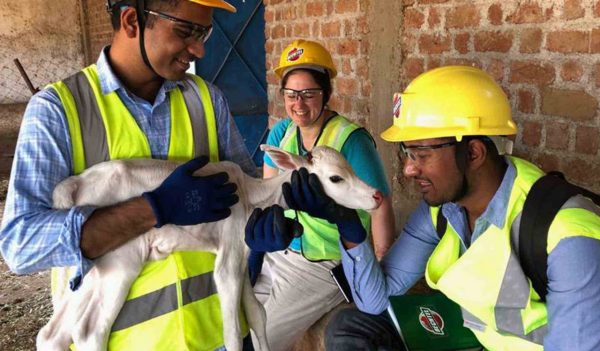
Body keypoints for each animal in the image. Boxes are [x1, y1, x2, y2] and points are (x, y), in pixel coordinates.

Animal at [37, 144, 382, 350]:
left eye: (350, 167)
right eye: (335, 178)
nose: (376, 195)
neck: (250, 195)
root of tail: (76, 184)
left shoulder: (242, 254)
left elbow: (257, 315)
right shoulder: (227, 262)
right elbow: (232, 331)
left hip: (87, 274)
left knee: (54, 334)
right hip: (121, 262)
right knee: (90, 331)